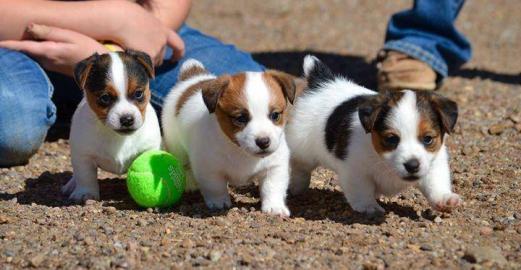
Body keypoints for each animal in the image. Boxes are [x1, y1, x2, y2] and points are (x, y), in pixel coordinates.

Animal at [62, 50, 160, 202]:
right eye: (105, 97)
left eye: (138, 93)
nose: (127, 119)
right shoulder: (83, 155)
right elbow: (85, 176)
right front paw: (85, 193)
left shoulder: (150, 148)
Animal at [160, 60, 294, 216]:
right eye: (241, 118)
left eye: (275, 115)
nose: (263, 142)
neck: (240, 150)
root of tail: (192, 77)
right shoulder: (209, 169)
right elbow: (215, 187)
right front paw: (219, 202)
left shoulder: (275, 166)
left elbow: (272, 187)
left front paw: (275, 206)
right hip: (176, 146)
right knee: (183, 163)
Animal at [286, 56, 462, 214]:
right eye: (391, 139)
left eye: (428, 139)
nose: (412, 165)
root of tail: (323, 83)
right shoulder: (355, 170)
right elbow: (362, 190)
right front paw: (369, 206)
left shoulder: (434, 164)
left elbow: (435, 184)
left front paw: (445, 199)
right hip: (301, 148)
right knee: (300, 166)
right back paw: (296, 185)